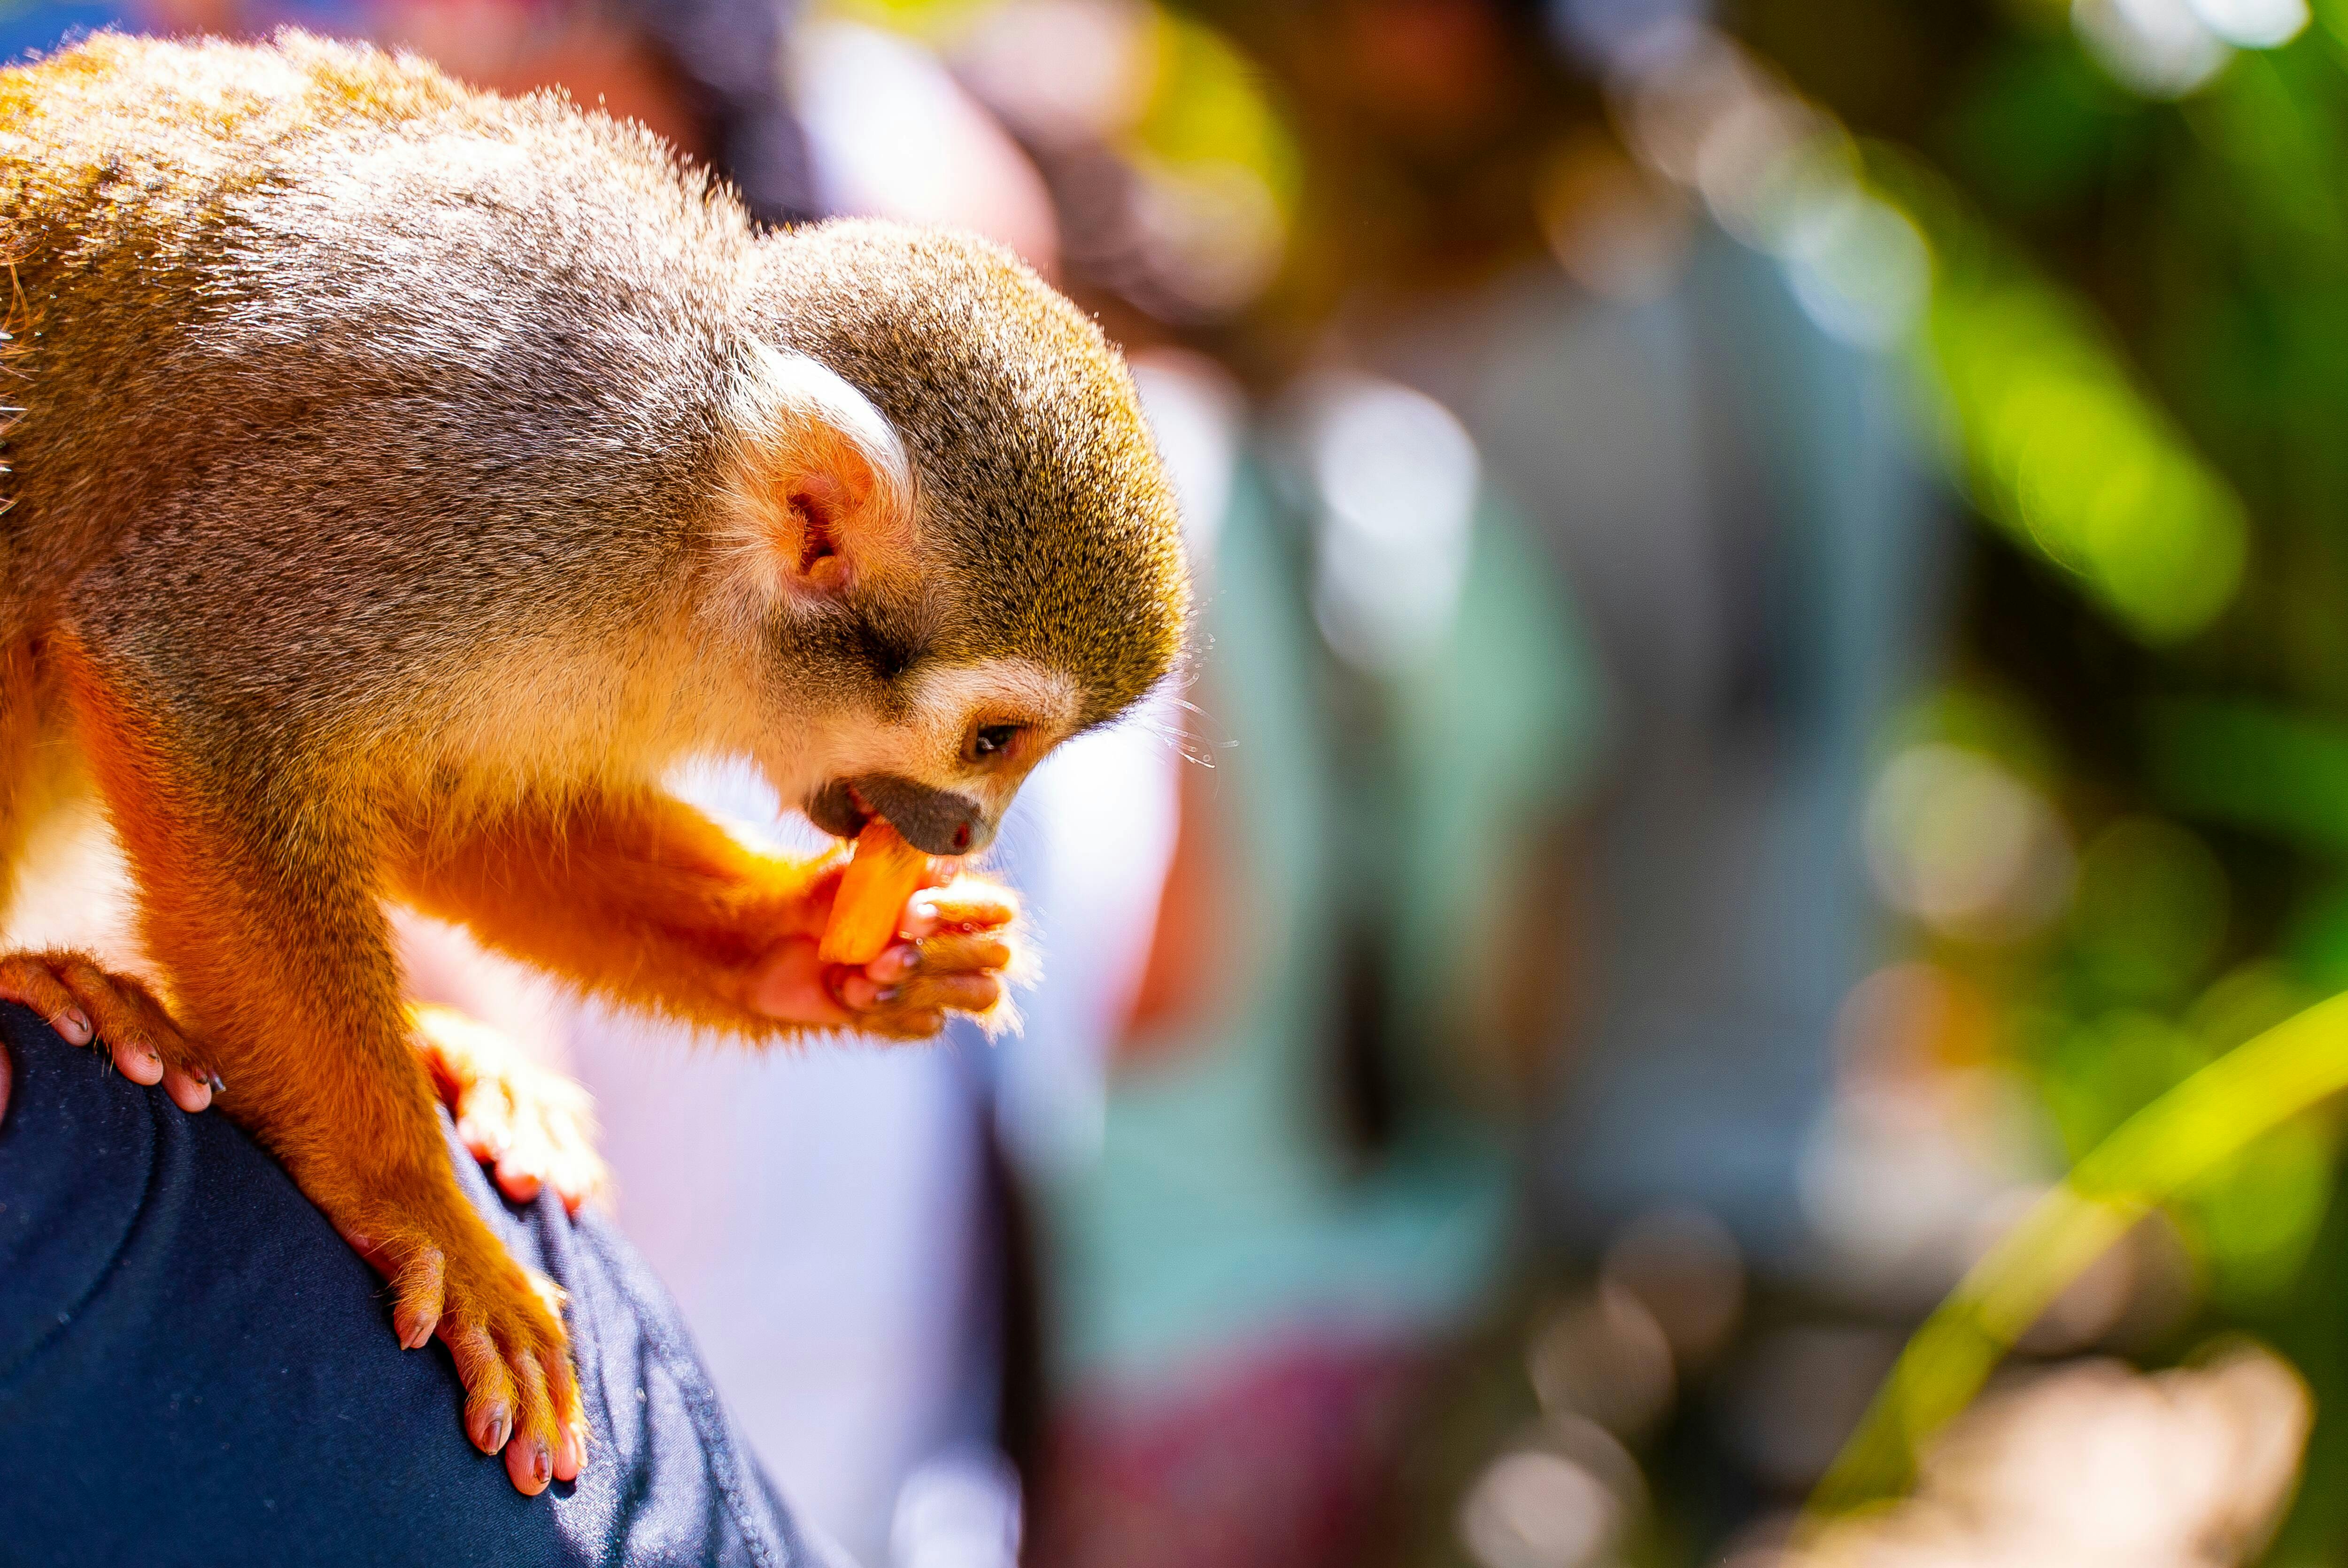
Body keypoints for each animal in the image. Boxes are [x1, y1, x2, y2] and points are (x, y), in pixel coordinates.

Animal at [0, 37, 1183, 1493]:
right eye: (995, 739)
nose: (963, 835)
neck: (689, 516)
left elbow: (457, 807)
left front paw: (801, 946)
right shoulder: (486, 498)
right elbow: (195, 685)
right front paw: (418, 1206)